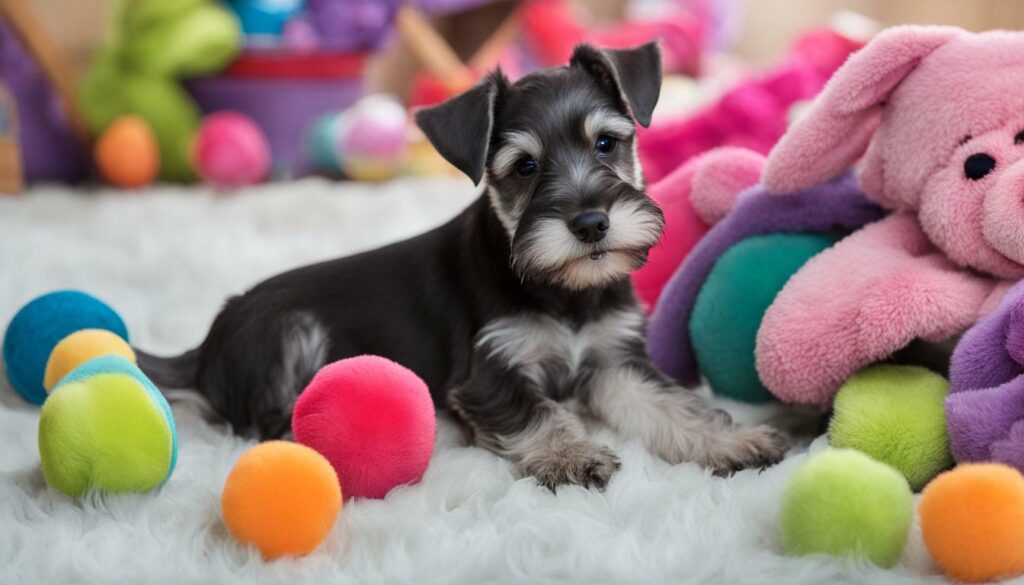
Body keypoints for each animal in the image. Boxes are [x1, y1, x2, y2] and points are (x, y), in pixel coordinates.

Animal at [140, 42, 786, 489]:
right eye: (525, 167)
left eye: (607, 143)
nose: (590, 224)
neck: (565, 294)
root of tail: (203, 349)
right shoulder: (488, 374)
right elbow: (538, 411)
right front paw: (572, 455)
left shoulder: (617, 362)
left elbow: (672, 404)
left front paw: (732, 442)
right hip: (285, 332)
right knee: (268, 421)